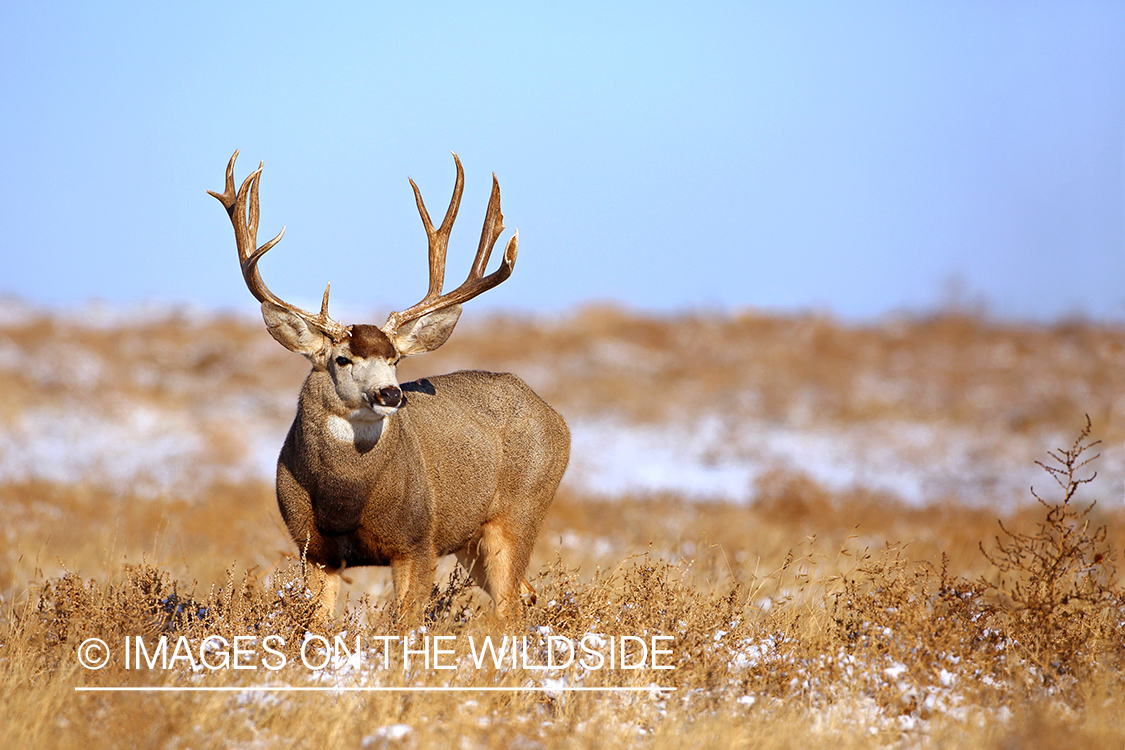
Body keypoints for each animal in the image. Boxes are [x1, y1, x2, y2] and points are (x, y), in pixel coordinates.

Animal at [210, 149, 567, 625]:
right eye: (342, 359)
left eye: (396, 360)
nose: (391, 394)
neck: (346, 502)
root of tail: (556, 418)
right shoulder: (313, 550)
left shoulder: (418, 541)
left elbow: (405, 626)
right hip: (473, 539)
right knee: (528, 595)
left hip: (520, 512)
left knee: (511, 605)